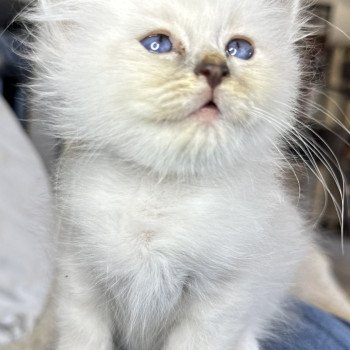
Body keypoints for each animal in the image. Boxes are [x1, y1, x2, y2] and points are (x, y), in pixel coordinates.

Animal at [28, 0, 312, 350]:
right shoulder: (80, 278)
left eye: (239, 49)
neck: (162, 193)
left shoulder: (223, 297)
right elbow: (83, 339)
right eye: (158, 44)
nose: (216, 70)